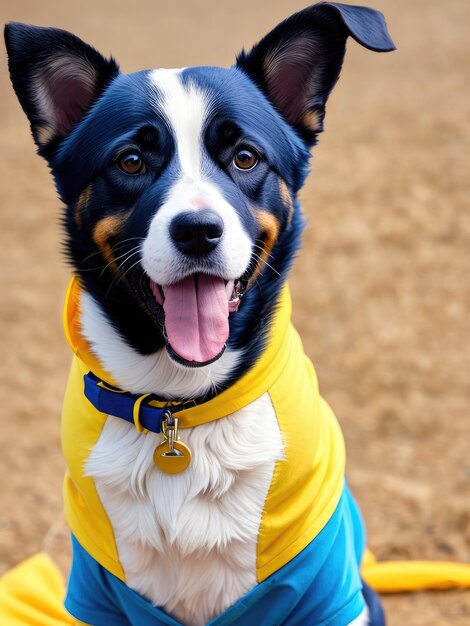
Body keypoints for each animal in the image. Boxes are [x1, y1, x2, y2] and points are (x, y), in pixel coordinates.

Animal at [5, 6, 394, 624]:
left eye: (245, 157)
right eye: (131, 161)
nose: (196, 230)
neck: (182, 410)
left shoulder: (326, 593)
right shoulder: (99, 592)